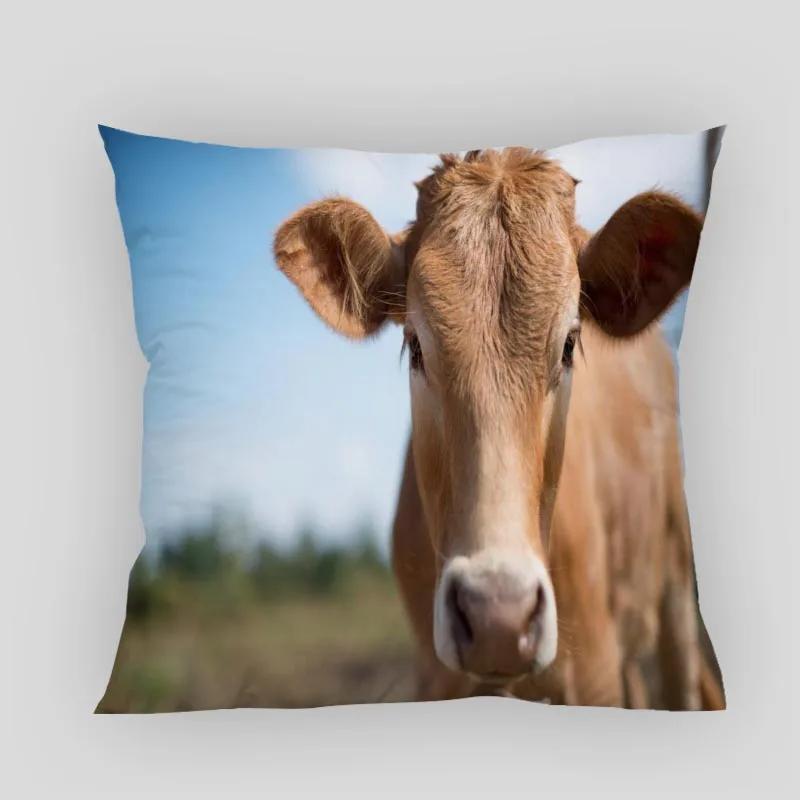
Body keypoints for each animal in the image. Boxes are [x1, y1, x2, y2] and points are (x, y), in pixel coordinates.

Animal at [273, 148, 723, 710]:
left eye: (569, 344)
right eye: (415, 346)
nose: (497, 617)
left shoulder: (594, 671)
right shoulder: (433, 677)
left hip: (676, 588)